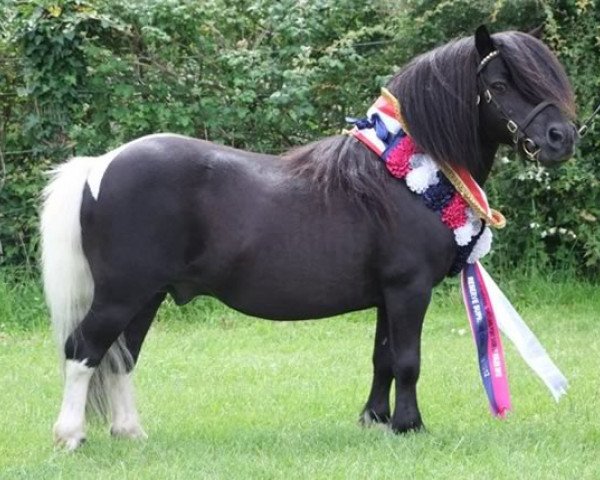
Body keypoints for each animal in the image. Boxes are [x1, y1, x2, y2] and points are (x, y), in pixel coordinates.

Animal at [42, 26, 576, 448]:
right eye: (500, 84)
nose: (562, 138)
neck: (402, 178)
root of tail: (99, 165)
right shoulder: (409, 289)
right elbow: (407, 360)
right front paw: (410, 426)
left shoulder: (387, 295)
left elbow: (382, 358)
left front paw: (375, 421)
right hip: (121, 294)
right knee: (83, 350)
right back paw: (70, 435)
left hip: (145, 297)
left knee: (120, 358)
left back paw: (130, 432)